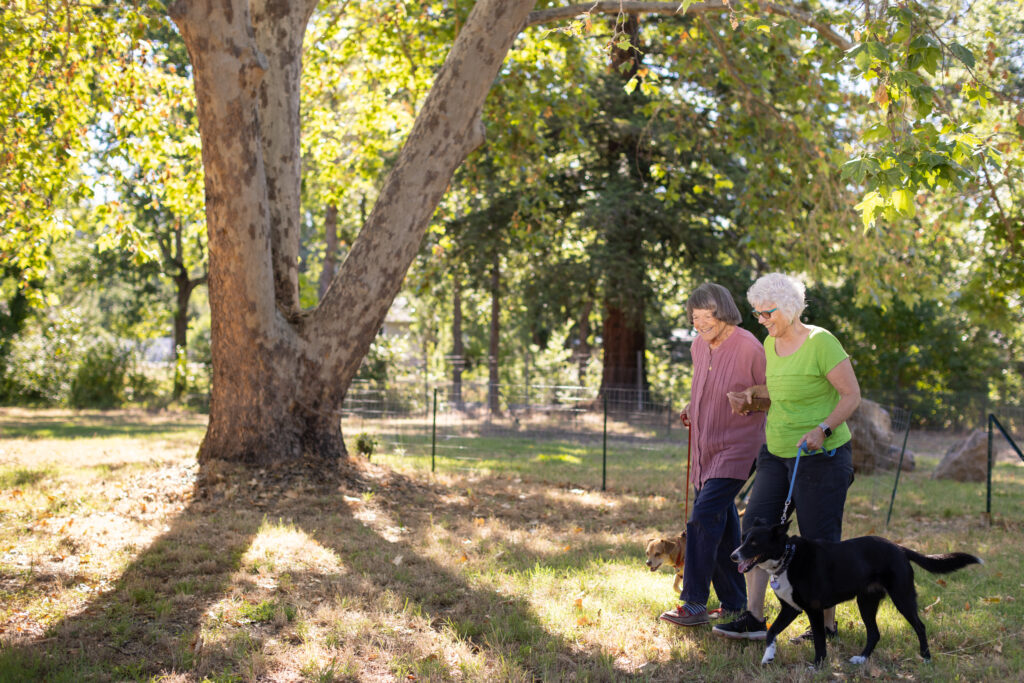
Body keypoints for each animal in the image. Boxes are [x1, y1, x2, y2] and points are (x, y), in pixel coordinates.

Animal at [733, 524, 978, 667]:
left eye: (754, 542)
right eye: (743, 538)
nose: (733, 555)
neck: (787, 558)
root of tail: (899, 548)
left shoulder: (814, 609)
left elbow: (819, 640)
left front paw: (817, 665)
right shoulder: (791, 609)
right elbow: (771, 631)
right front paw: (768, 656)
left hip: (902, 597)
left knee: (920, 626)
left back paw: (926, 657)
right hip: (866, 602)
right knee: (875, 633)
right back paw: (861, 658)